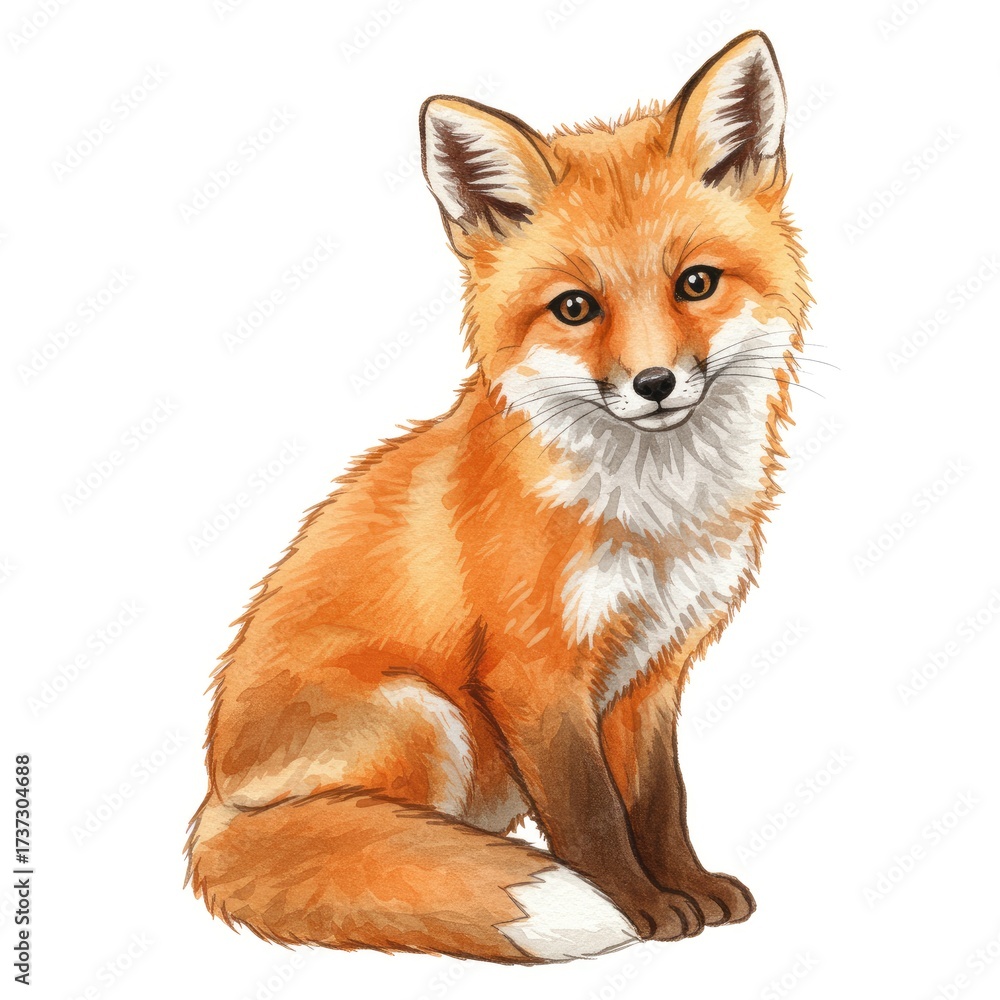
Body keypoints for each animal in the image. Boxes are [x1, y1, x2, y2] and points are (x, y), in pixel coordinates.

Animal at [185, 30, 811, 964]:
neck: (651, 516)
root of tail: (214, 802)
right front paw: (636, 907)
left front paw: (688, 888)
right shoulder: (531, 672)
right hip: (427, 713)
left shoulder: (655, 669)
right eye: (575, 307)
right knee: (371, 845)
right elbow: (591, 814)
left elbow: (659, 801)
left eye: (696, 283)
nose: (656, 384)